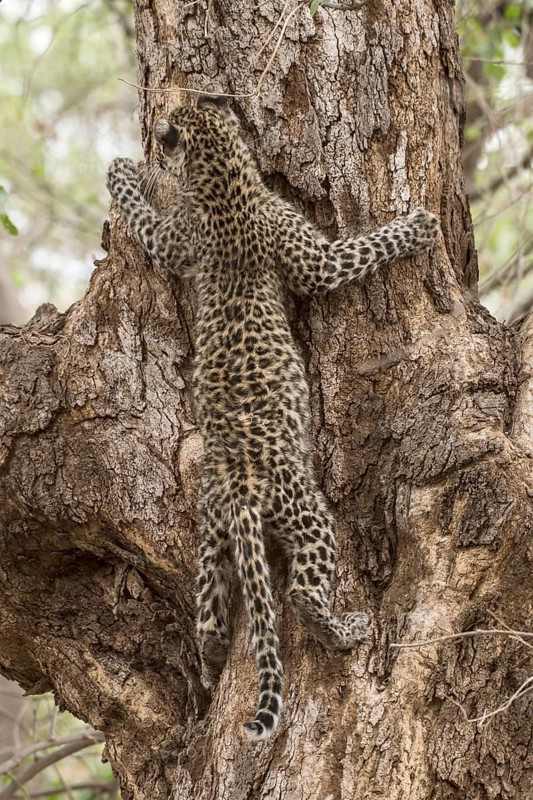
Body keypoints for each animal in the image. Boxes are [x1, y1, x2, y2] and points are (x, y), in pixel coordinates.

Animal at [106, 94, 438, 742]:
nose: (177, 105)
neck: (221, 181)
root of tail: (238, 483)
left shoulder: (174, 240)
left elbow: (147, 224)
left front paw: (124, 172)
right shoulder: (315, 259)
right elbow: (354, 252)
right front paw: (417, 227)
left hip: (213, 528)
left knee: (209, 613)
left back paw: (211, 661)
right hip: (307, 515)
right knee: (302, 594)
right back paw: (346, 629)